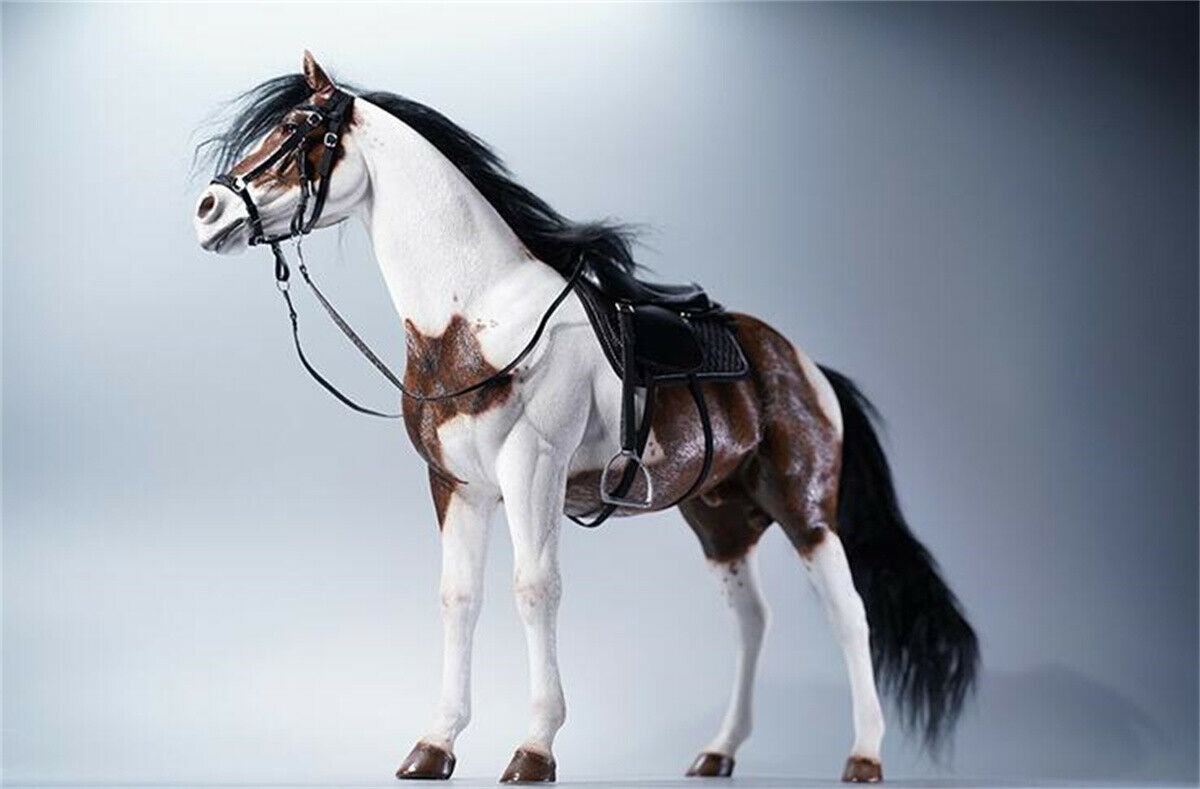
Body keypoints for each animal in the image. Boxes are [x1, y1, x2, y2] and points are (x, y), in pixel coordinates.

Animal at [192, 52, 978, 784]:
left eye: (300, 129)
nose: (208, 209)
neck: (478, 317)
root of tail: (807, 366)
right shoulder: (456, 486)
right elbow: (459, 597)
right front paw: (435, 744)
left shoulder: (531, 470)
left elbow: (534, 589)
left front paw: (534, 747)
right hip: (721, 519)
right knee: (752, 621)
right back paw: (718, 750)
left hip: (805, 508)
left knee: (848, 614)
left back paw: (864, 754)